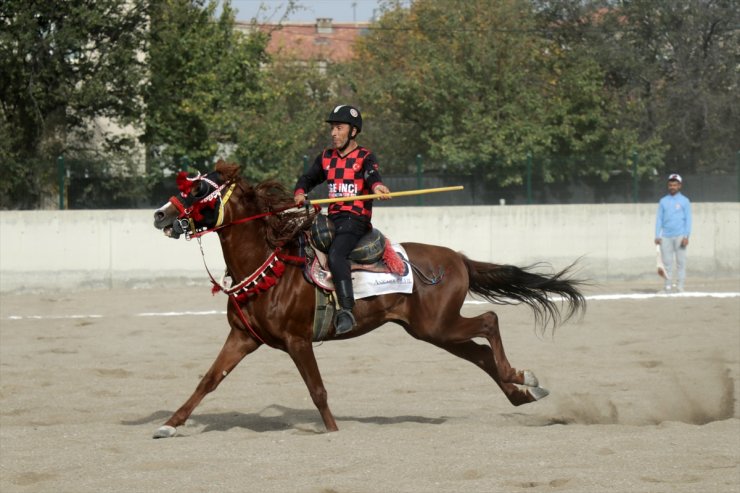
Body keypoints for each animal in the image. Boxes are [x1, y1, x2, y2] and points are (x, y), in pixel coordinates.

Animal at [153, 162, 588, 438]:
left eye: (198, 190)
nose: (160, 214)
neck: (270, 263)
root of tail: (457, 257)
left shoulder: (298, 341)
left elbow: (317, 390)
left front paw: (332, 431)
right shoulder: (243, 338)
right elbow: (208, 380)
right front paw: (170, 424)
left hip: (438, 324)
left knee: (490, 322)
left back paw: (523, 378)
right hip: (431, 331)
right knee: (480, 353)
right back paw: (522, 394)